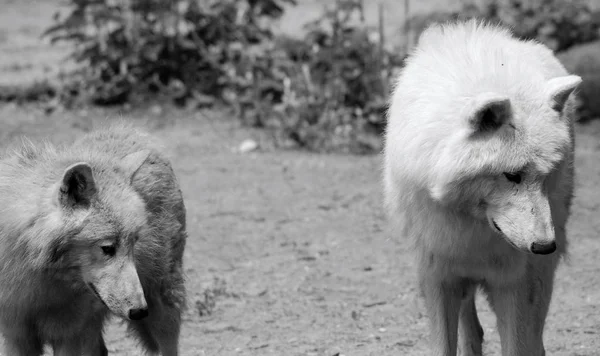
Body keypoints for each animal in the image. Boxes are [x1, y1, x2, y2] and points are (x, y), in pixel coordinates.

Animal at [0, 121, 188, 354]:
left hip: (162, 302)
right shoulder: (15, 336)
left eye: (133, 244)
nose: (139, 311)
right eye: (107, 248)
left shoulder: (69, 336)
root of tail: (127, 130)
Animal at [384, 20, 580, 356]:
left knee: (535, 338)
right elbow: (444, 345)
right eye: (512, 175)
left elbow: (517, 345)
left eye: (546, 175)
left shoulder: (514, 281)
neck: (471, 227)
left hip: (542, 272)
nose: (545, 246)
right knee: (472, 328)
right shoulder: (438, 276)